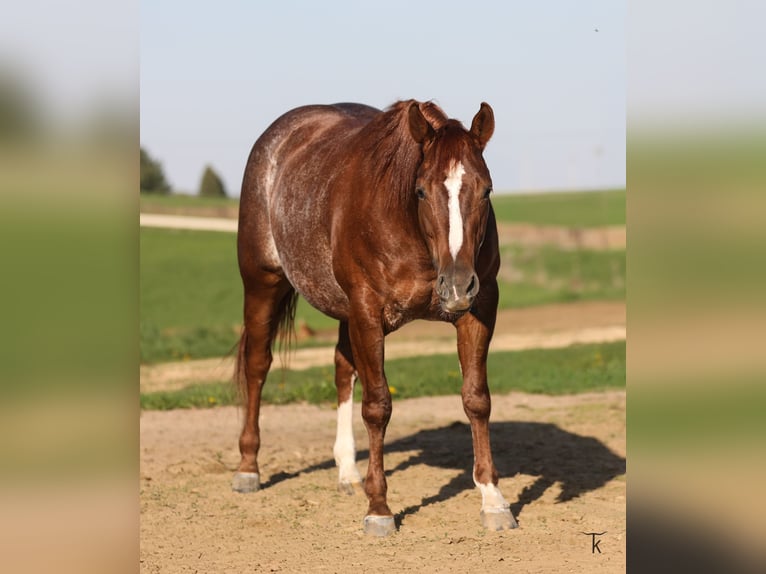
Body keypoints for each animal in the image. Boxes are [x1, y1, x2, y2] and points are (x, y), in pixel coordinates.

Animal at [233, 99, 517, 536]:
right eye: (421, 190)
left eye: (485, 190)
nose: (456, 284)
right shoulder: (367, 312)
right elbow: (378, 406)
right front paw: (379, 508)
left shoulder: (479, 309)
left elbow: (476, 399)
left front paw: (493, 499)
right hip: (263, 283)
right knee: (257, 365)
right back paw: (249, 467)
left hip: (342, 310)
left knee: (342, 370)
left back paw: (348, 472)